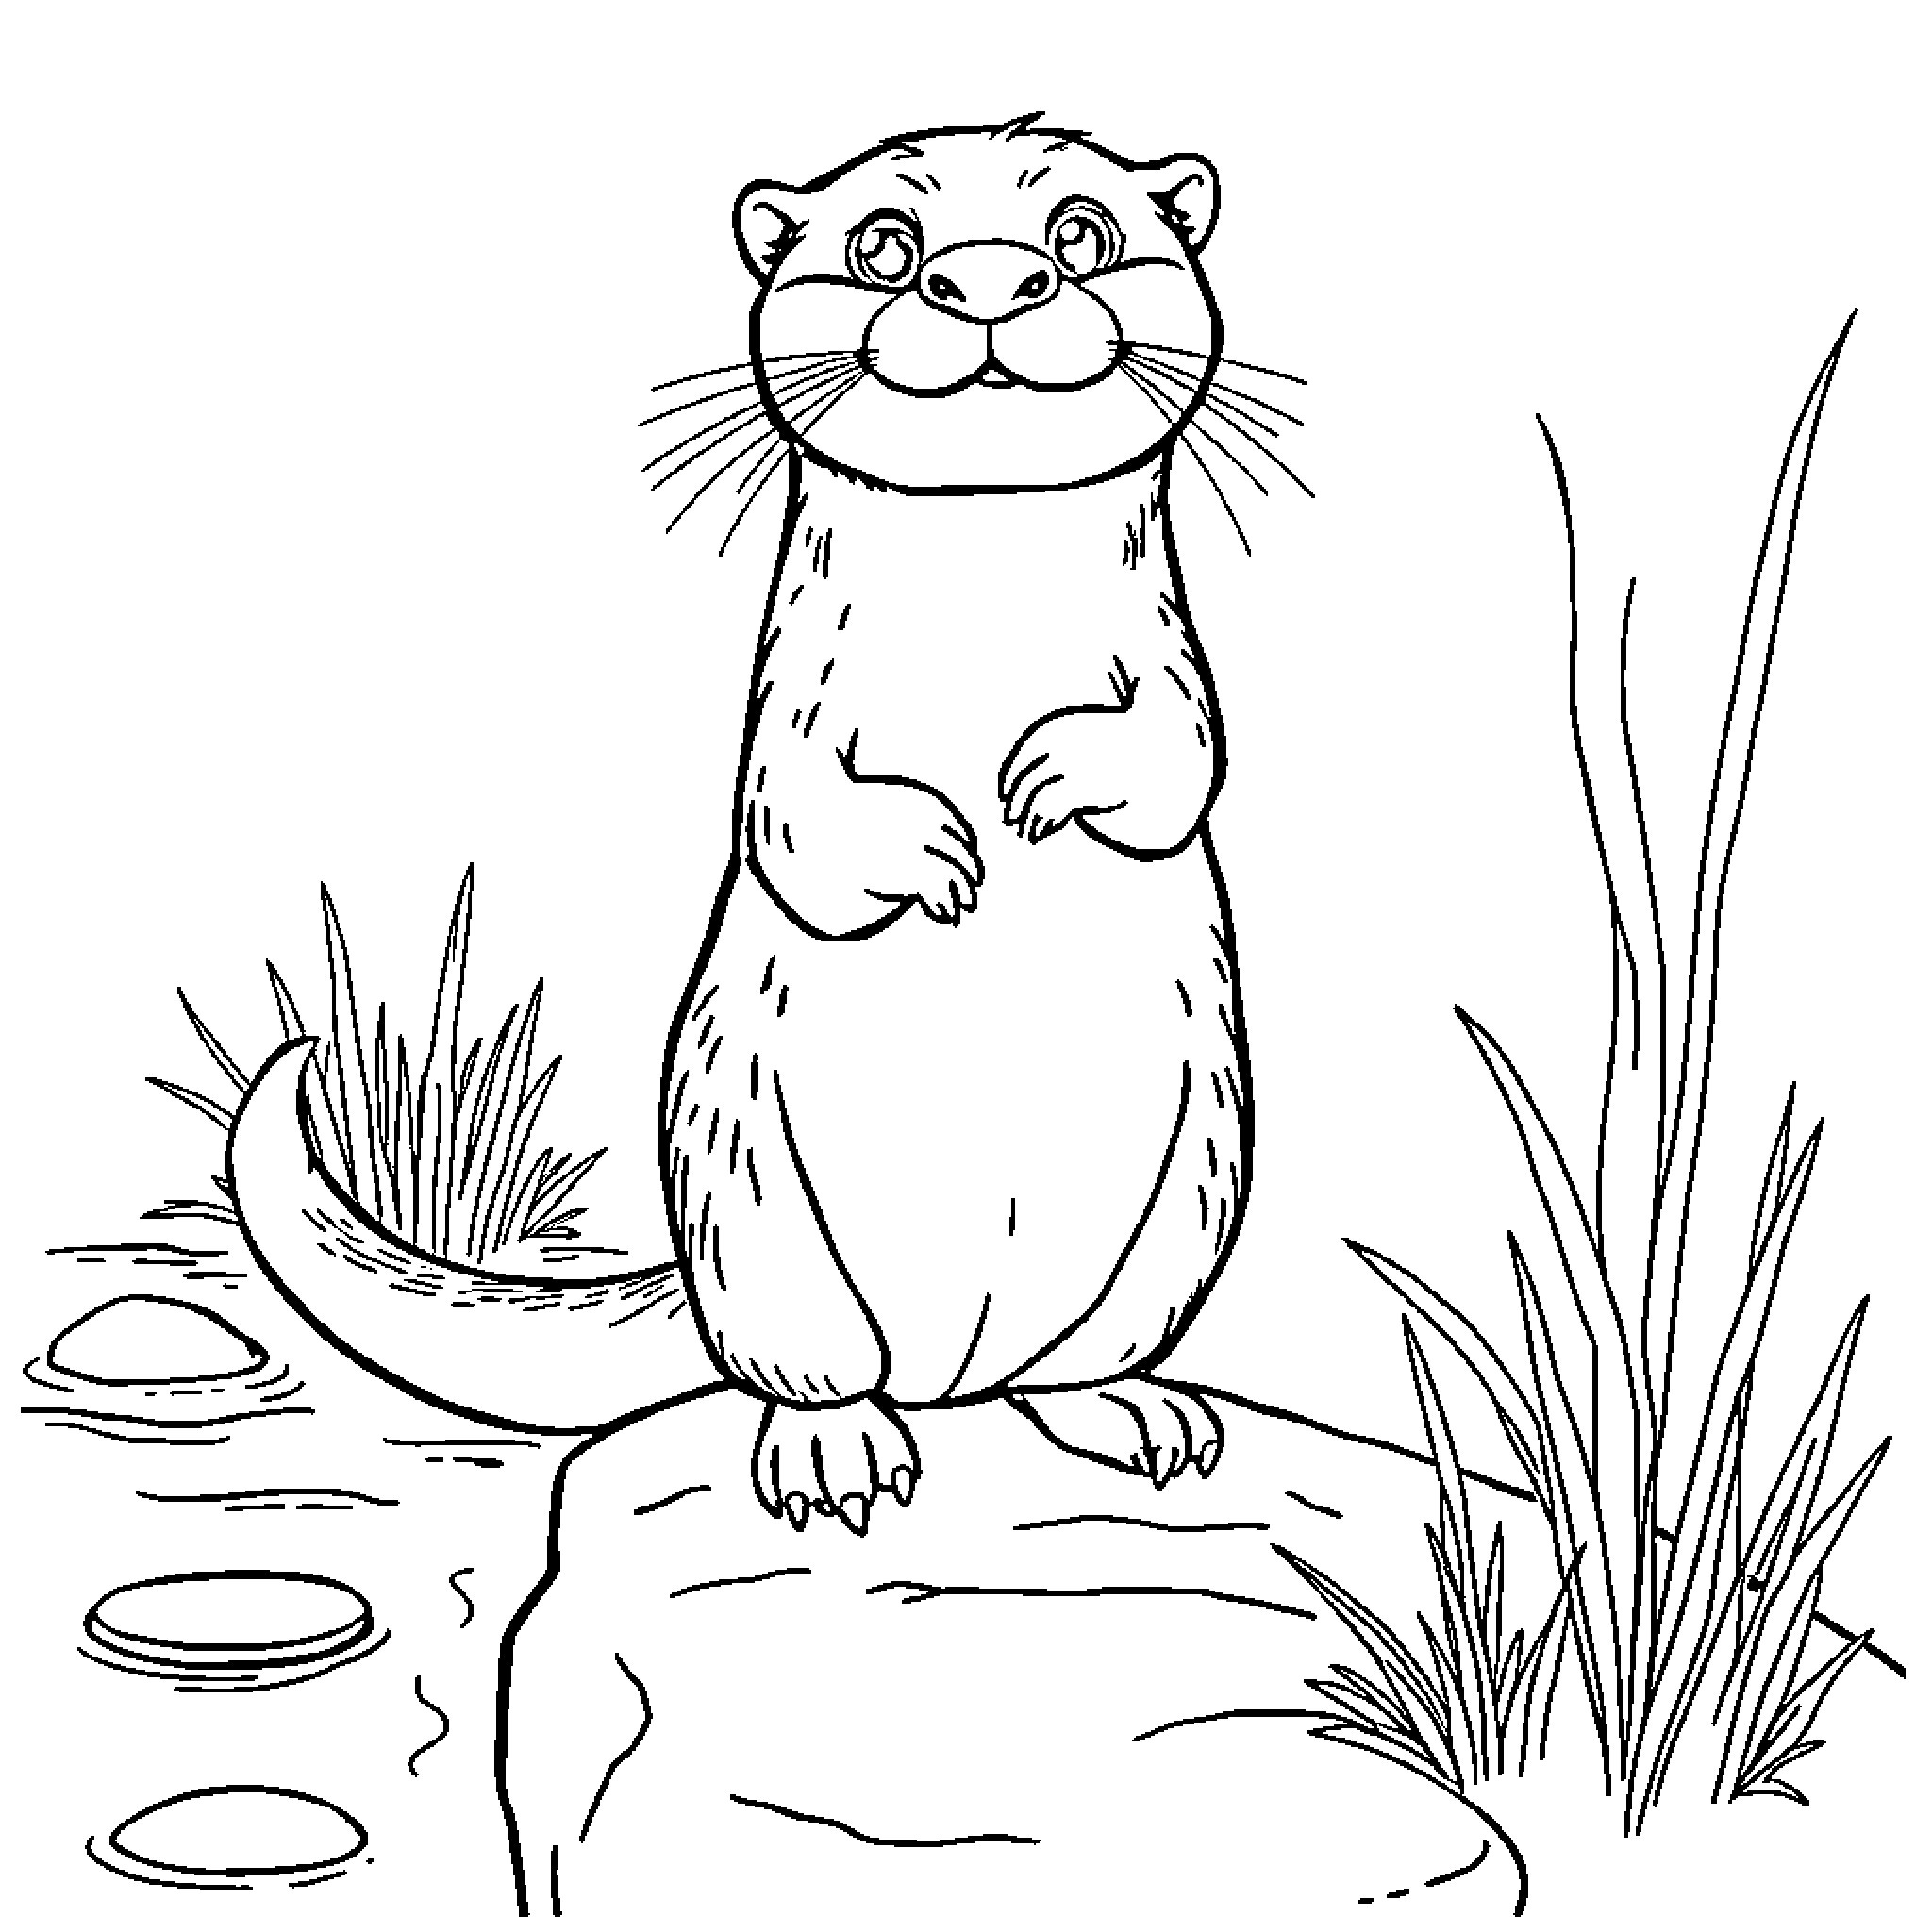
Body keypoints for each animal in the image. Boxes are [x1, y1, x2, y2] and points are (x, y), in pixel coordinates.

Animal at [225, 115, 1255, 1535]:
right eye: (884, 245)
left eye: (1082, 232)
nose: (990, 282)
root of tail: (953, 1373)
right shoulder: (793, 711)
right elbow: (794, 818)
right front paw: (941, 854)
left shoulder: (1169, 661)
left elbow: (1180, 754)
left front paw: (1046, 777)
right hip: (753, 1210)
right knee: (807, 1365)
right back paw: (837, 1450)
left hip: (1191, 1198)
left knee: (1081, 1354)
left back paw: (1133, 1412)